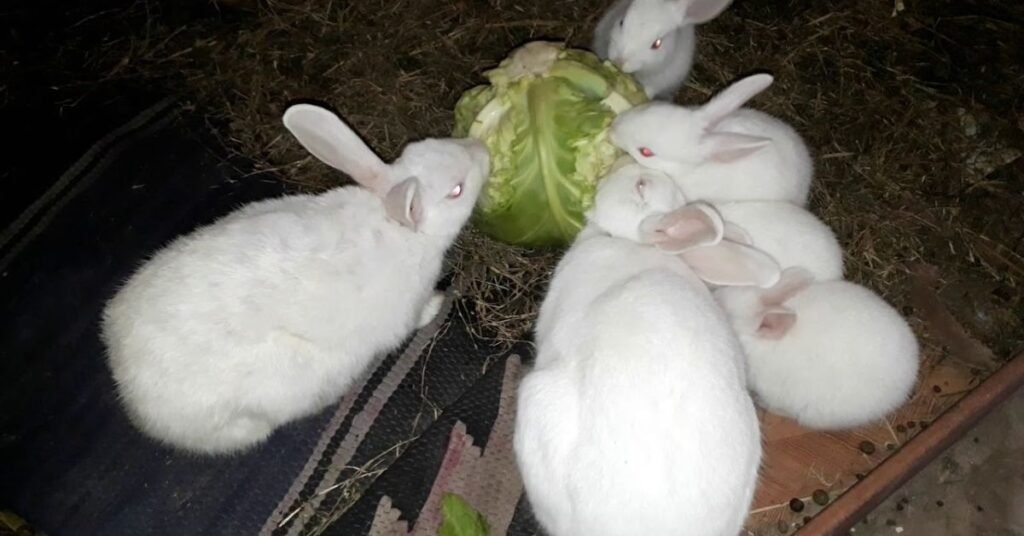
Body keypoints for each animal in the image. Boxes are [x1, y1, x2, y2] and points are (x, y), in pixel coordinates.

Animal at [100, 103, 490, 455]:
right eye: (456, 190)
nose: (483, 149)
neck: (399, 227)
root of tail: (129, 393)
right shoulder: (406, 310)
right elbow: (419, 316)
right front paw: (440, 302)